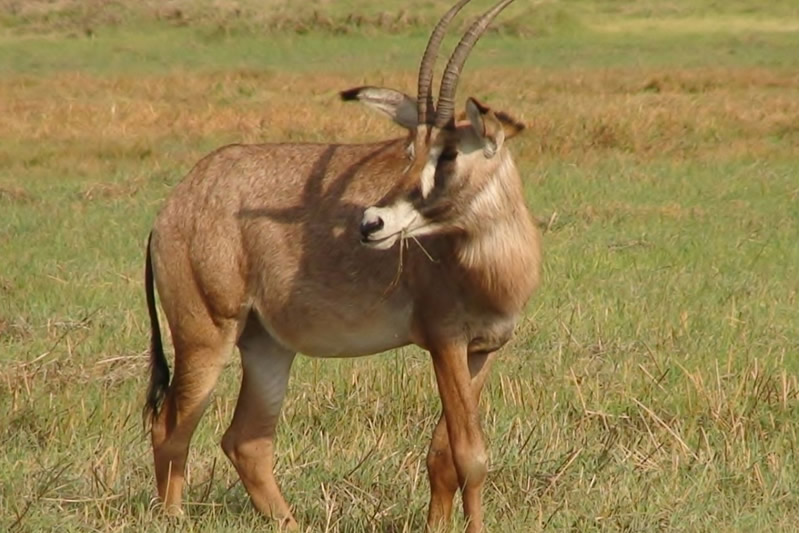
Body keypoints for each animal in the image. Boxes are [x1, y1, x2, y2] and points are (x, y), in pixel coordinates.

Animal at [145, 2, 540, 528]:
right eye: (410, 151)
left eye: (451, 153)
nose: (372, 222)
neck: (490, 258)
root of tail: (173, 208)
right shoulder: (445, 342)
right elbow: (469, 457)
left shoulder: (484, 349)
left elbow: (443, 457)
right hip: (205, 337)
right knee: (171, 429)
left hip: (266, 345)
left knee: (246, 441)